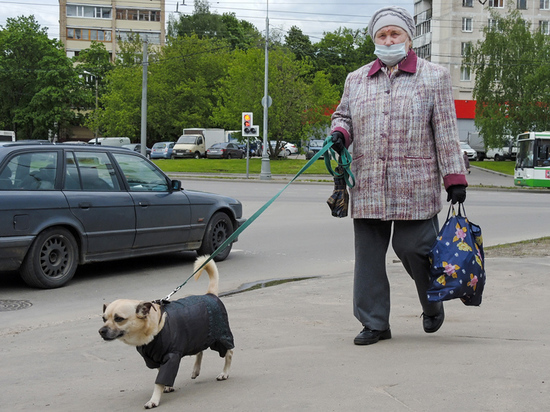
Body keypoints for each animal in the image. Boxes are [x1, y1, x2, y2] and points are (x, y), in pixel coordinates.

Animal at [99, 256, 235, 408]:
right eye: (104, 318)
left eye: (119, 319)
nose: (101, 331)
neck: (153, 328)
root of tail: (210, 295)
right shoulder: (155, 359)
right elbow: (161, 374)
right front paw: (167, 387)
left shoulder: (171, 357)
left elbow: (160, 380)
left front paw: (154, 399)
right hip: (198, 335)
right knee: (200, 350)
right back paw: (196, 370)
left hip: (220, 338)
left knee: (228, 352)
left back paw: (224, 373)